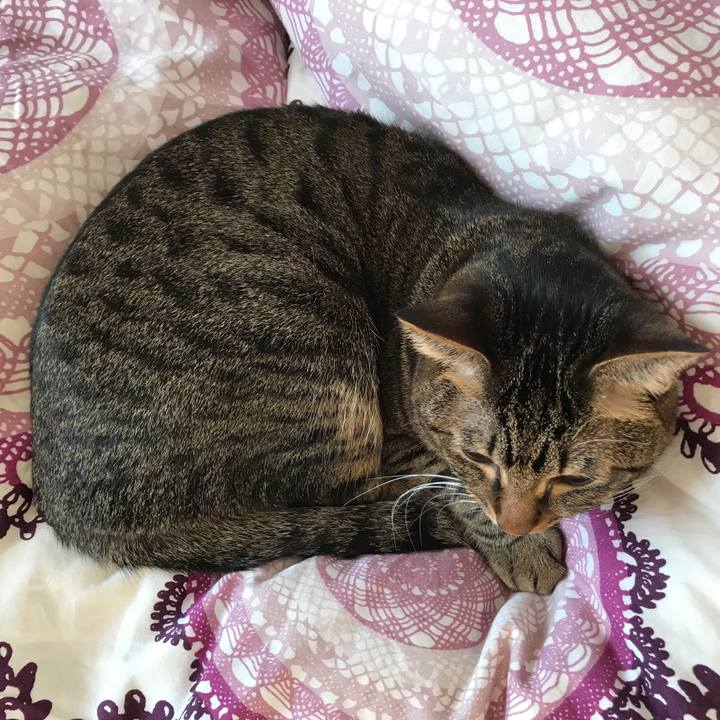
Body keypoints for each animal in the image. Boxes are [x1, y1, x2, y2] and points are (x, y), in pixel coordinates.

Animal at [30, 105, 705, 594]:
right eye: (480, 457)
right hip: (312, 340)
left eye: (571, 478)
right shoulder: (413, 445)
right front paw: (519, 546)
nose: (515, 523)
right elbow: (447, 480)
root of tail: (77, 517)